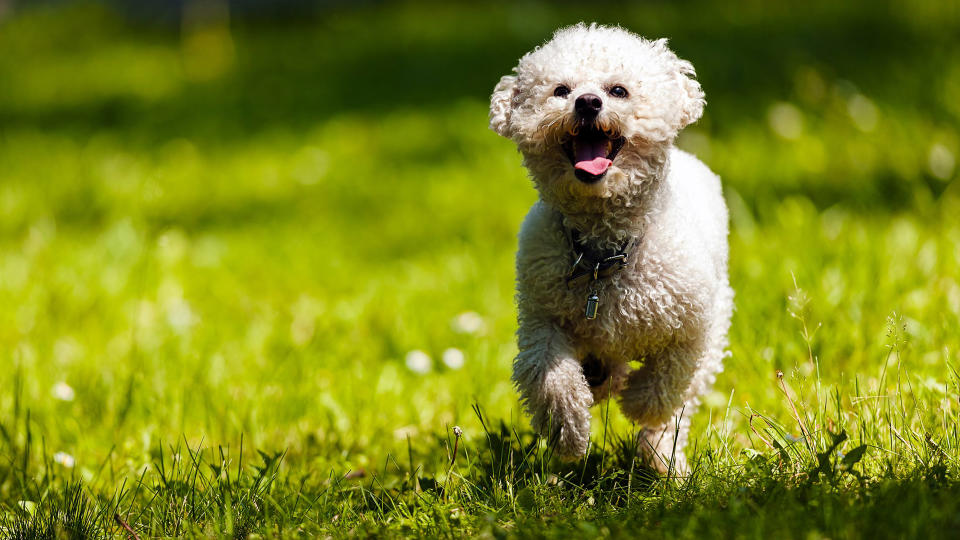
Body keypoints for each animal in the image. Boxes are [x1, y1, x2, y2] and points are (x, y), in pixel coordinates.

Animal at [492, 24, 732, 472]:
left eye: (618, 90)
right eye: (561, 90)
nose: (587, 102)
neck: (603, 255)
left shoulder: (691, 327)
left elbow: (665, 381)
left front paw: (639, 403)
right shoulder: (541, 319)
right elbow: (549, 376)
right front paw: (568, 430)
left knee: (678, 406)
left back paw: (662, 458)